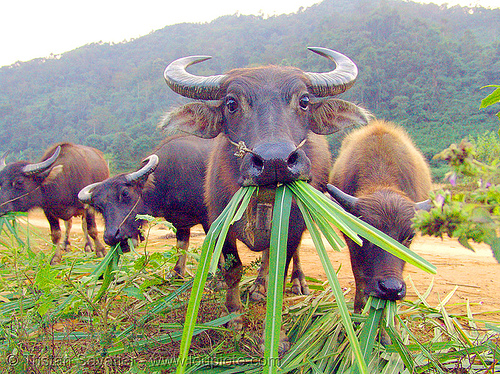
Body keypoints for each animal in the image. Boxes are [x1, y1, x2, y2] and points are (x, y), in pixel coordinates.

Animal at [77, 136, 304, 294]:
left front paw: (217, 279)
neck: (168, 179)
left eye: (125, 194)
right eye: (99, 207)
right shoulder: (180, 224)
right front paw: (176, 273)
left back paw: (292, 281)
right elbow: (181, 245)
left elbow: (215, 247)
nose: (112, 236)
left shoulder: (210, 219)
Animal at [161, 46, 372, 350]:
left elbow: (278, 276)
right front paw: (235, 318)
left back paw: (297, 282)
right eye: (231, 103)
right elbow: (233, 269)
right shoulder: (218, 221)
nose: (276, 161)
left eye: (304, 101)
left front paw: (276, 337)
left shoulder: (291, 228)